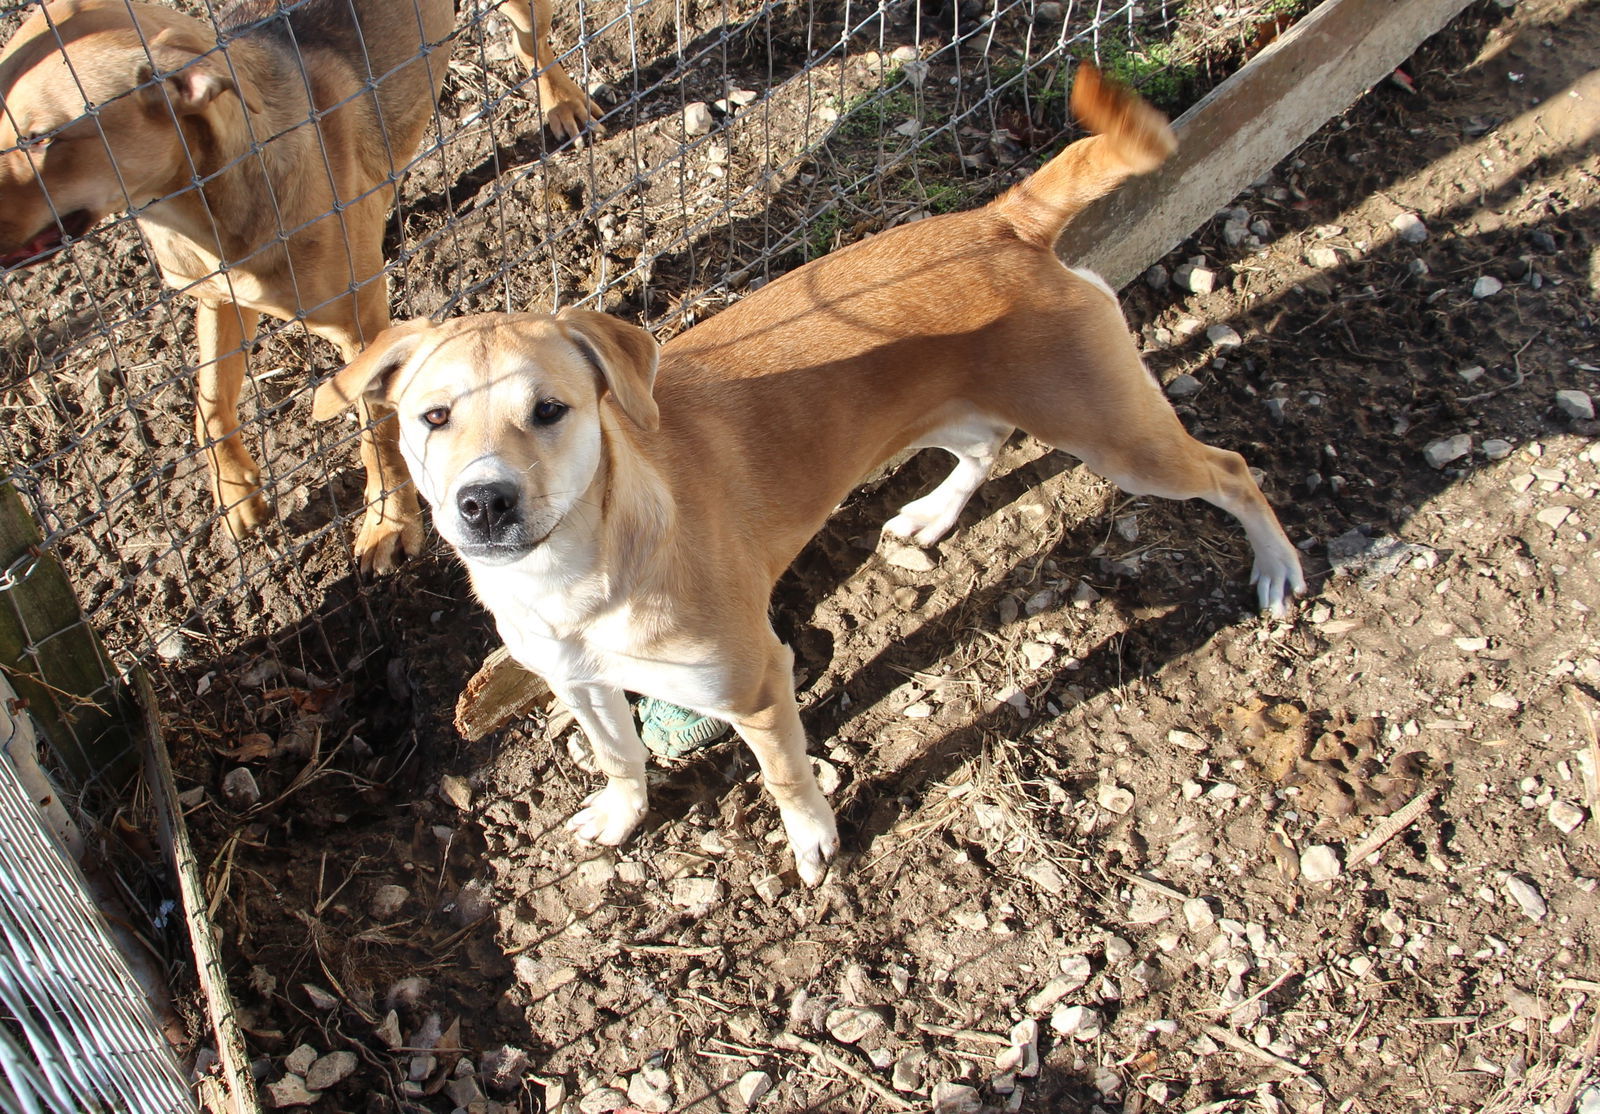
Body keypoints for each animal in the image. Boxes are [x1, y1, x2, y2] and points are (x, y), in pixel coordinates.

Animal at [312, 67, 1299, 889]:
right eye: (433, 417)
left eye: (550, 410)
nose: (484, 501)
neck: (580, 579)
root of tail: (998, 220)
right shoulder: (579, 685)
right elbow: (621, 756)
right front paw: (623, 816)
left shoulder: (755, 684)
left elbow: (786, 775)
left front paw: (815, 842)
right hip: (958, 407)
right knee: (985, 445)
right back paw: (933, 515)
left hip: (1120, 439)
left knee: (1233, 469)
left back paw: (1277, 570)